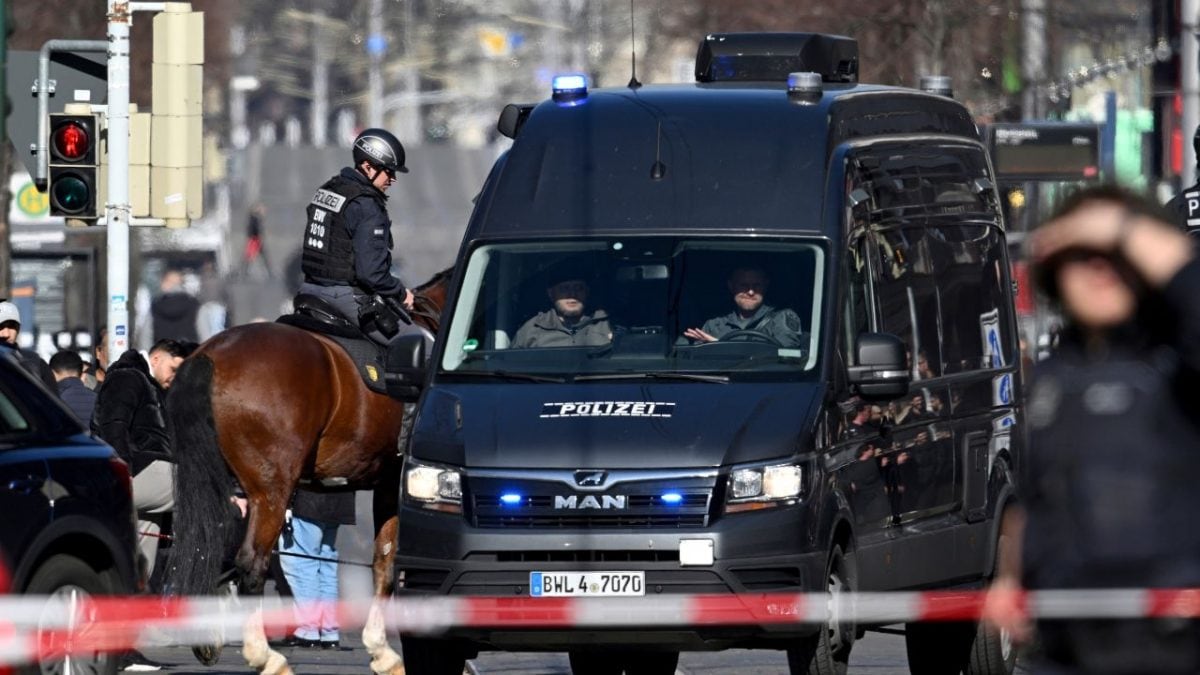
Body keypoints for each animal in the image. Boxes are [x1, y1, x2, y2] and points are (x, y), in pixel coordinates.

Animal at [166, 267, 451, 672]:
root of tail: (212, 353)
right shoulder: (400, 485)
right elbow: (389, 560)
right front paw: (384, 649)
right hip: (271, 490)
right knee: (251, 561)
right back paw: (265, 654)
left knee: (209, 546)